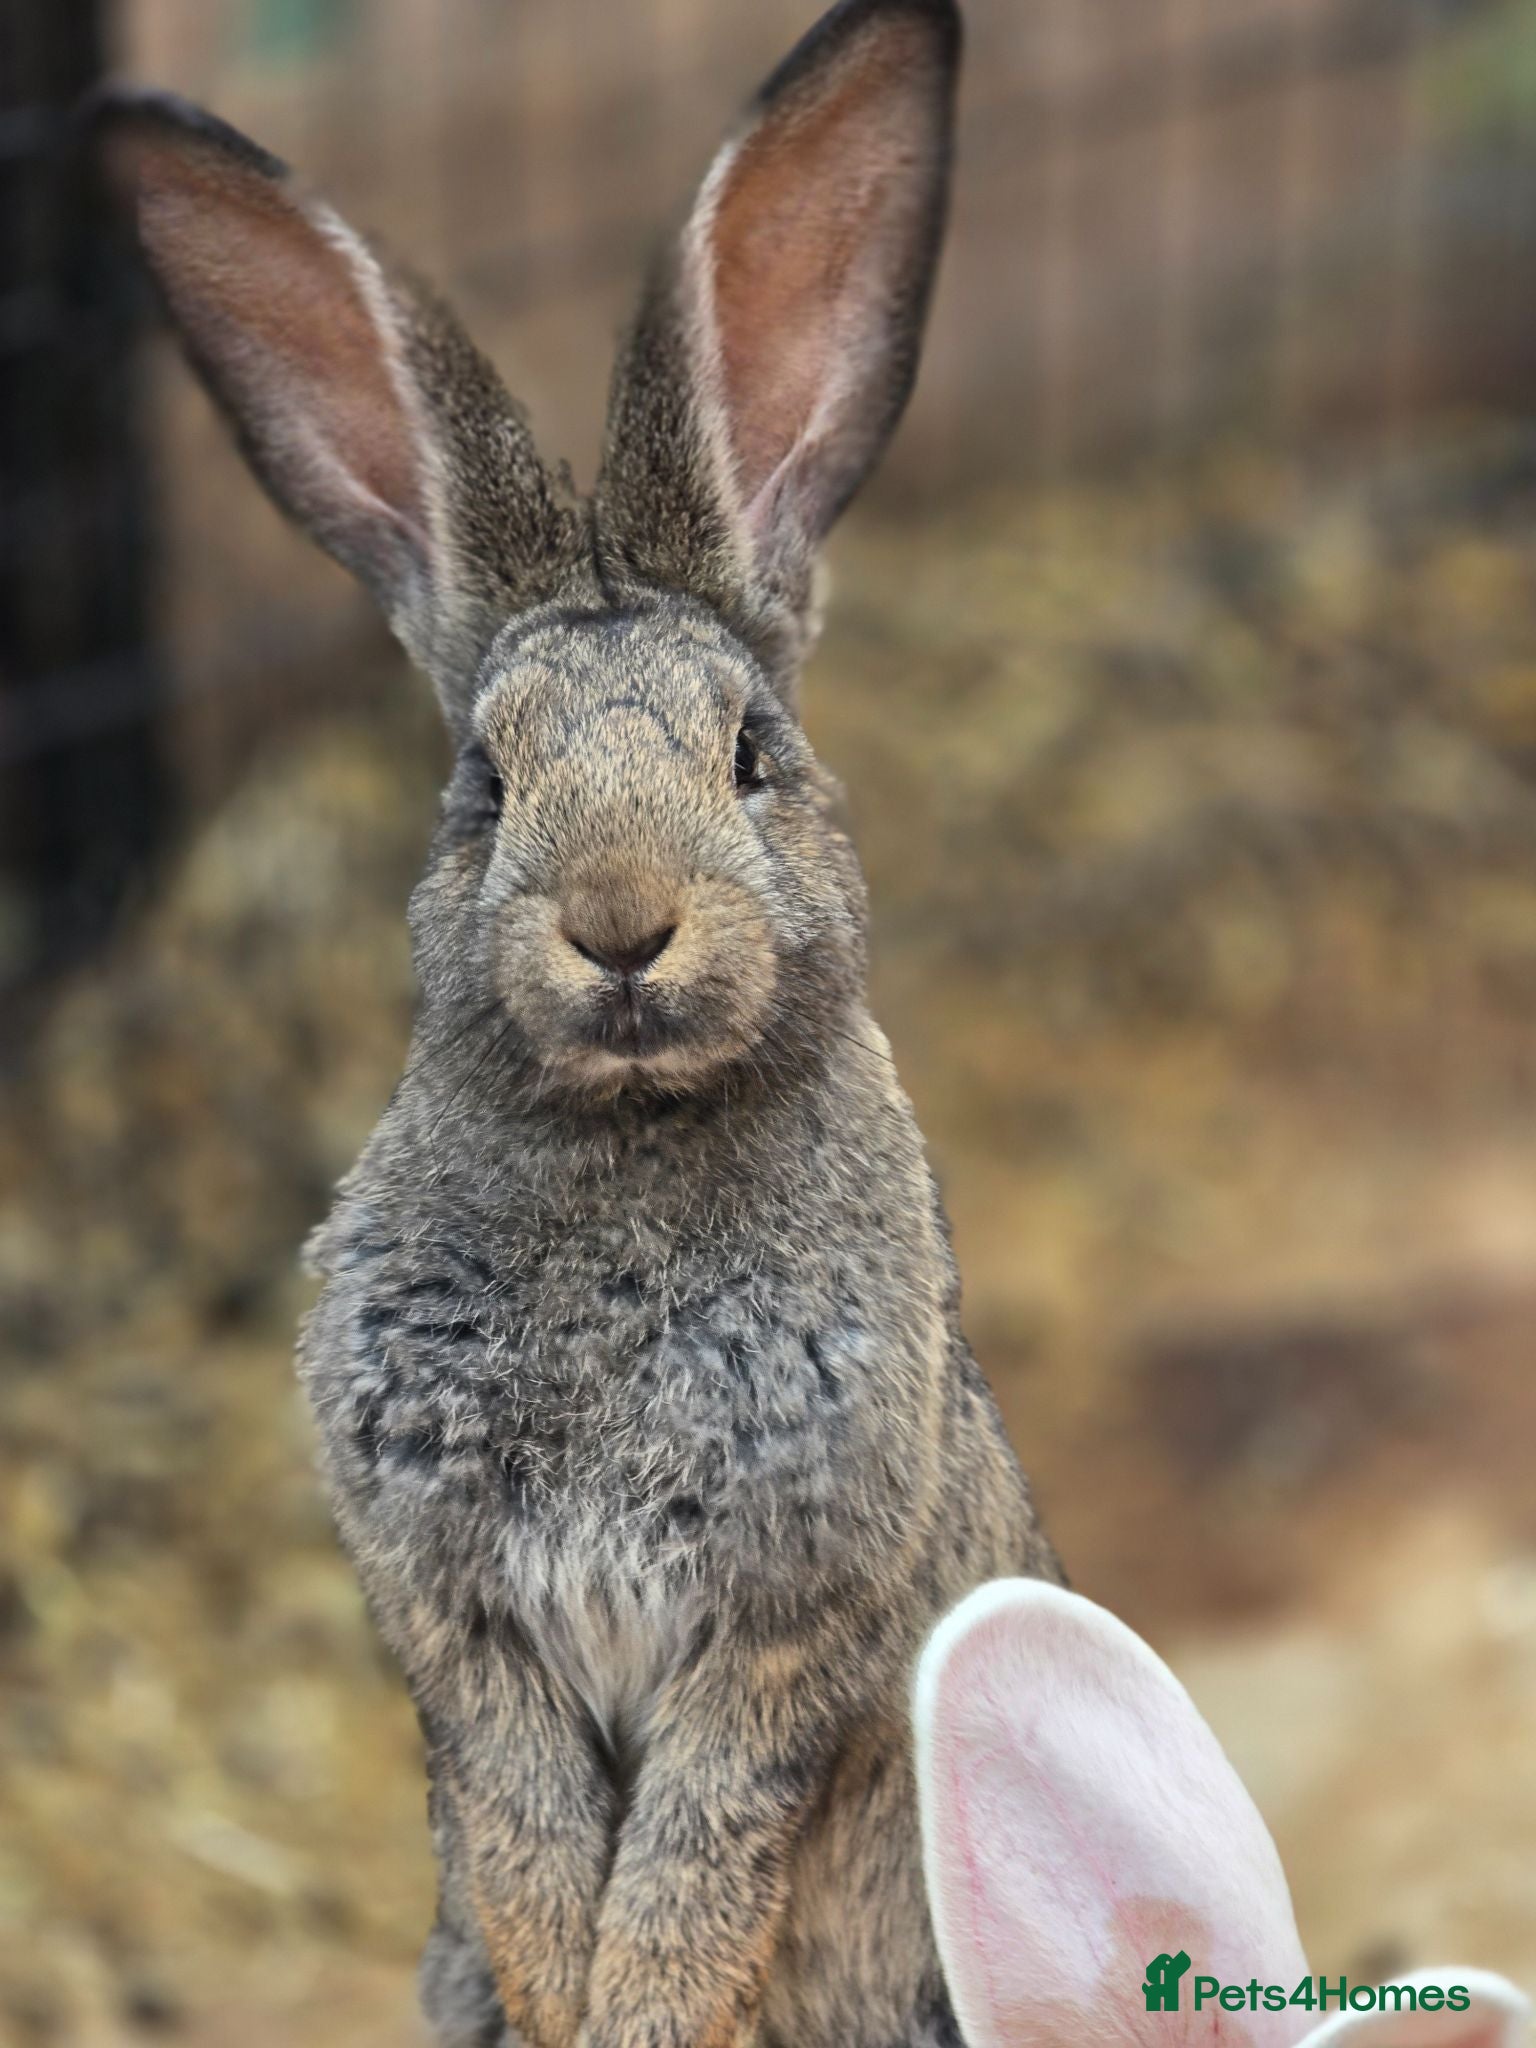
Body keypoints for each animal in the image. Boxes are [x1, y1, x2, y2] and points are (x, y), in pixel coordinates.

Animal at [94, 1, 1062, 2044]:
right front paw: (562, 2013)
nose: (620, 923)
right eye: (483, 780)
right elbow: (530, 1838)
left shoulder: (780, 1621)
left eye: (753, 754)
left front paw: (641, 2019)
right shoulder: (462, 1621)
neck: (627, 1141)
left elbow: (691, 1865)